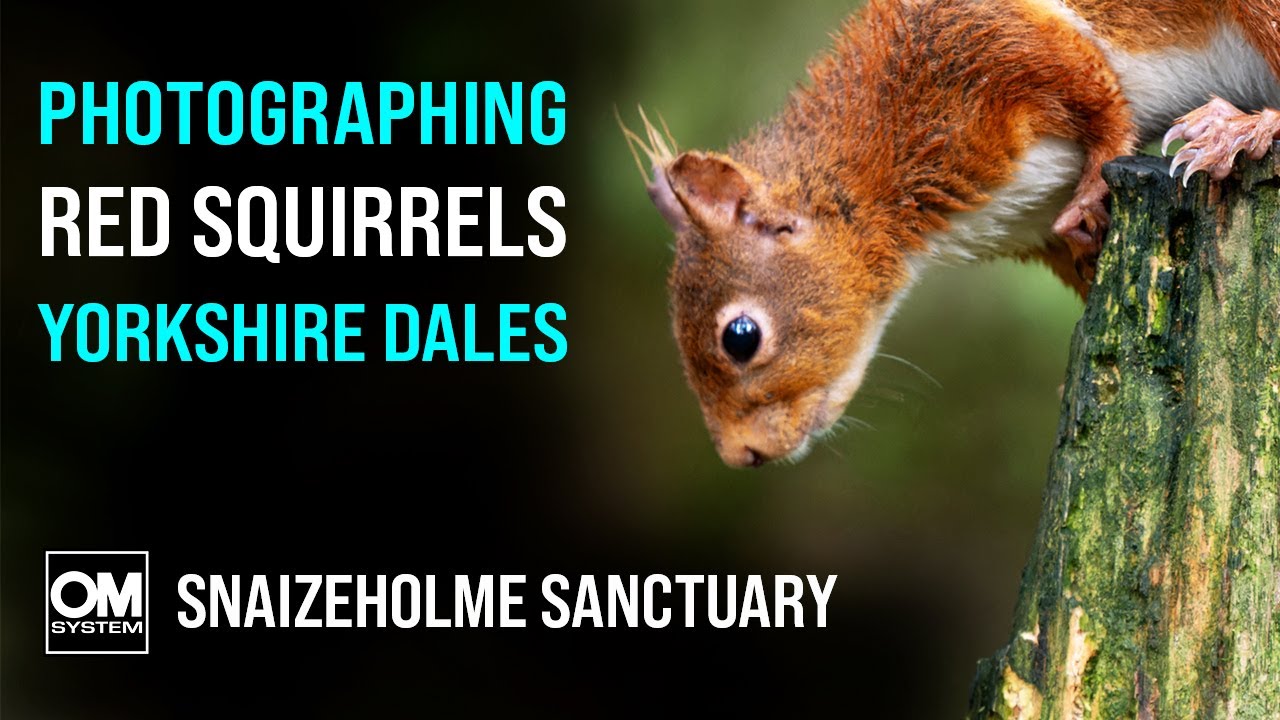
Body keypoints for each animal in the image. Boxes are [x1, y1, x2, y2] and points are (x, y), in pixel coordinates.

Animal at [622, 0, 1280, 468]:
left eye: (740, 337)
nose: (743, 456)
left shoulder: (982, 43)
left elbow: (1096, 96)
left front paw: (1095, 183)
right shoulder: (1031, 222)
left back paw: (1240, 129)